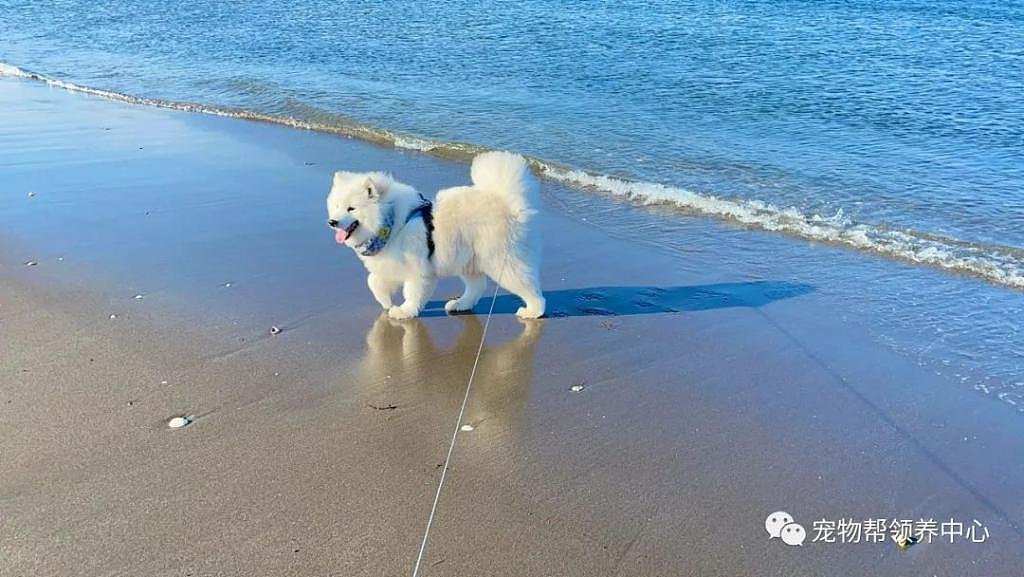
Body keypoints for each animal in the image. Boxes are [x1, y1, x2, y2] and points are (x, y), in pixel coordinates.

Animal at [329, 150, 544, 319]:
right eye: (336, 206)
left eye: (351, 208)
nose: (332, 222)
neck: (391, 221)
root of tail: (507, 203)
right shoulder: (391, 263)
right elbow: (373, 281)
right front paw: (386, 302)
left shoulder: (417, 269)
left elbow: (412, 292)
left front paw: (404, 311)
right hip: (470, 260)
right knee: (476, 287)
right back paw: (460, 304)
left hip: (500, 262)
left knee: (527, 285)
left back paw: (533, 311)